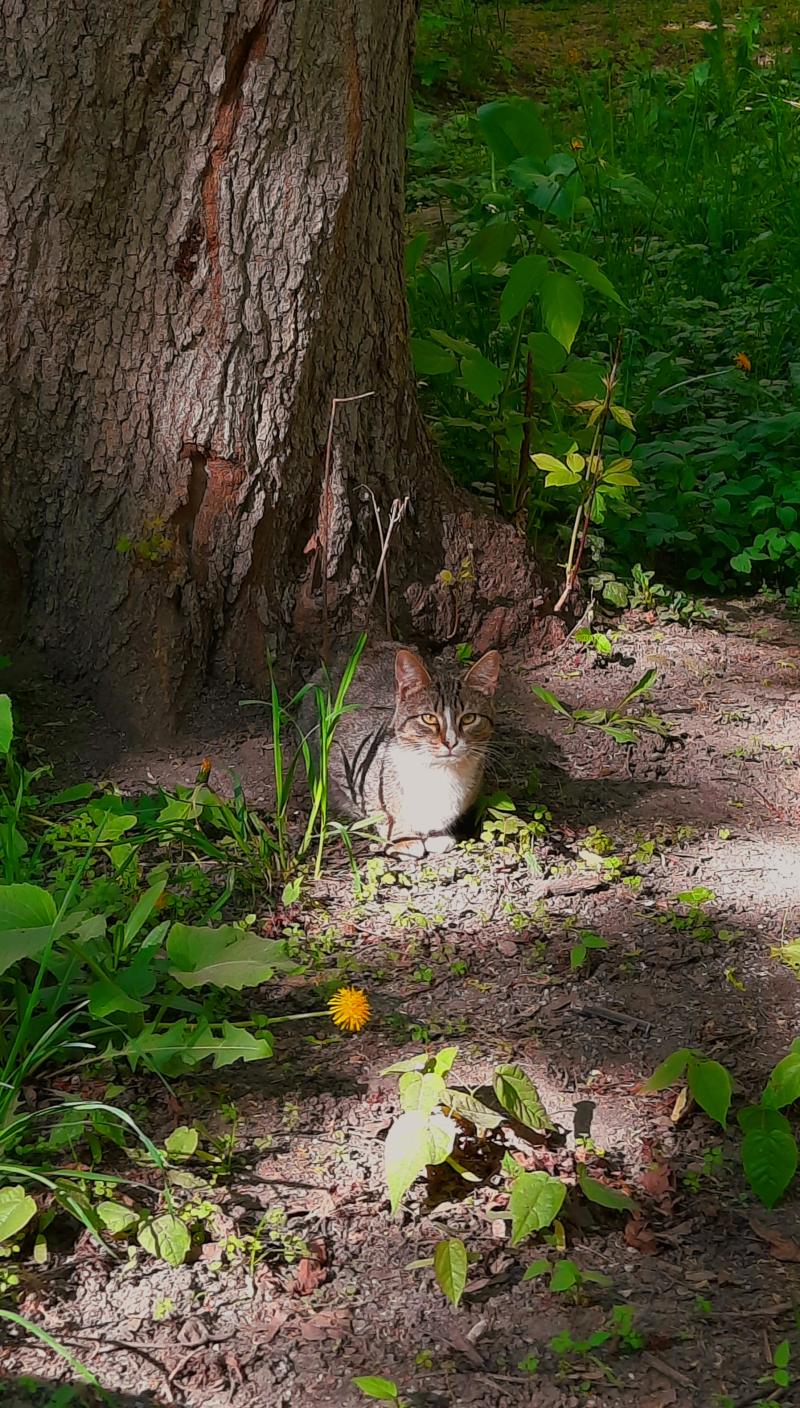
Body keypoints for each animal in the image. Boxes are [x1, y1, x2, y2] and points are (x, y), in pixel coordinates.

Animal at [304, 642, 501, 856]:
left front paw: (437, 834)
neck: (438, 773)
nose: (450, 741)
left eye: (469, 718)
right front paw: (402, 837)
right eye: (428, 718)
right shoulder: (343, 761)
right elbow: (380, 809)